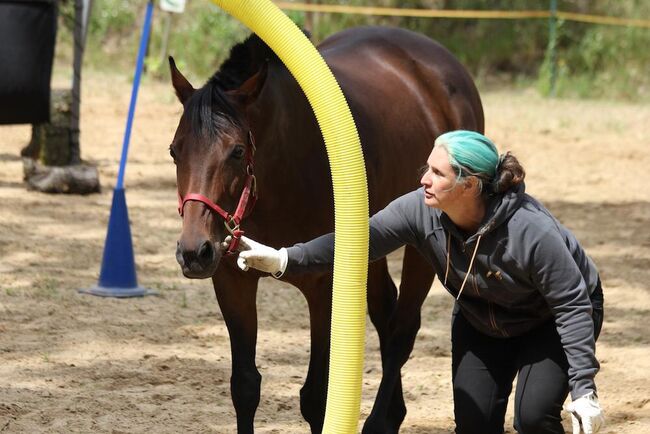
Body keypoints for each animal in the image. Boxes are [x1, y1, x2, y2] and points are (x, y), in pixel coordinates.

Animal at [167, 25, 480, 432]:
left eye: (236, 151)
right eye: (175, 150)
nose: (194, 252)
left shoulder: (324, 288)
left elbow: (315, 397)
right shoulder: (232, 283)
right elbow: (245, 386)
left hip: (420, 246)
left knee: (402, 330)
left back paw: (380, 420)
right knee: (386, 314)